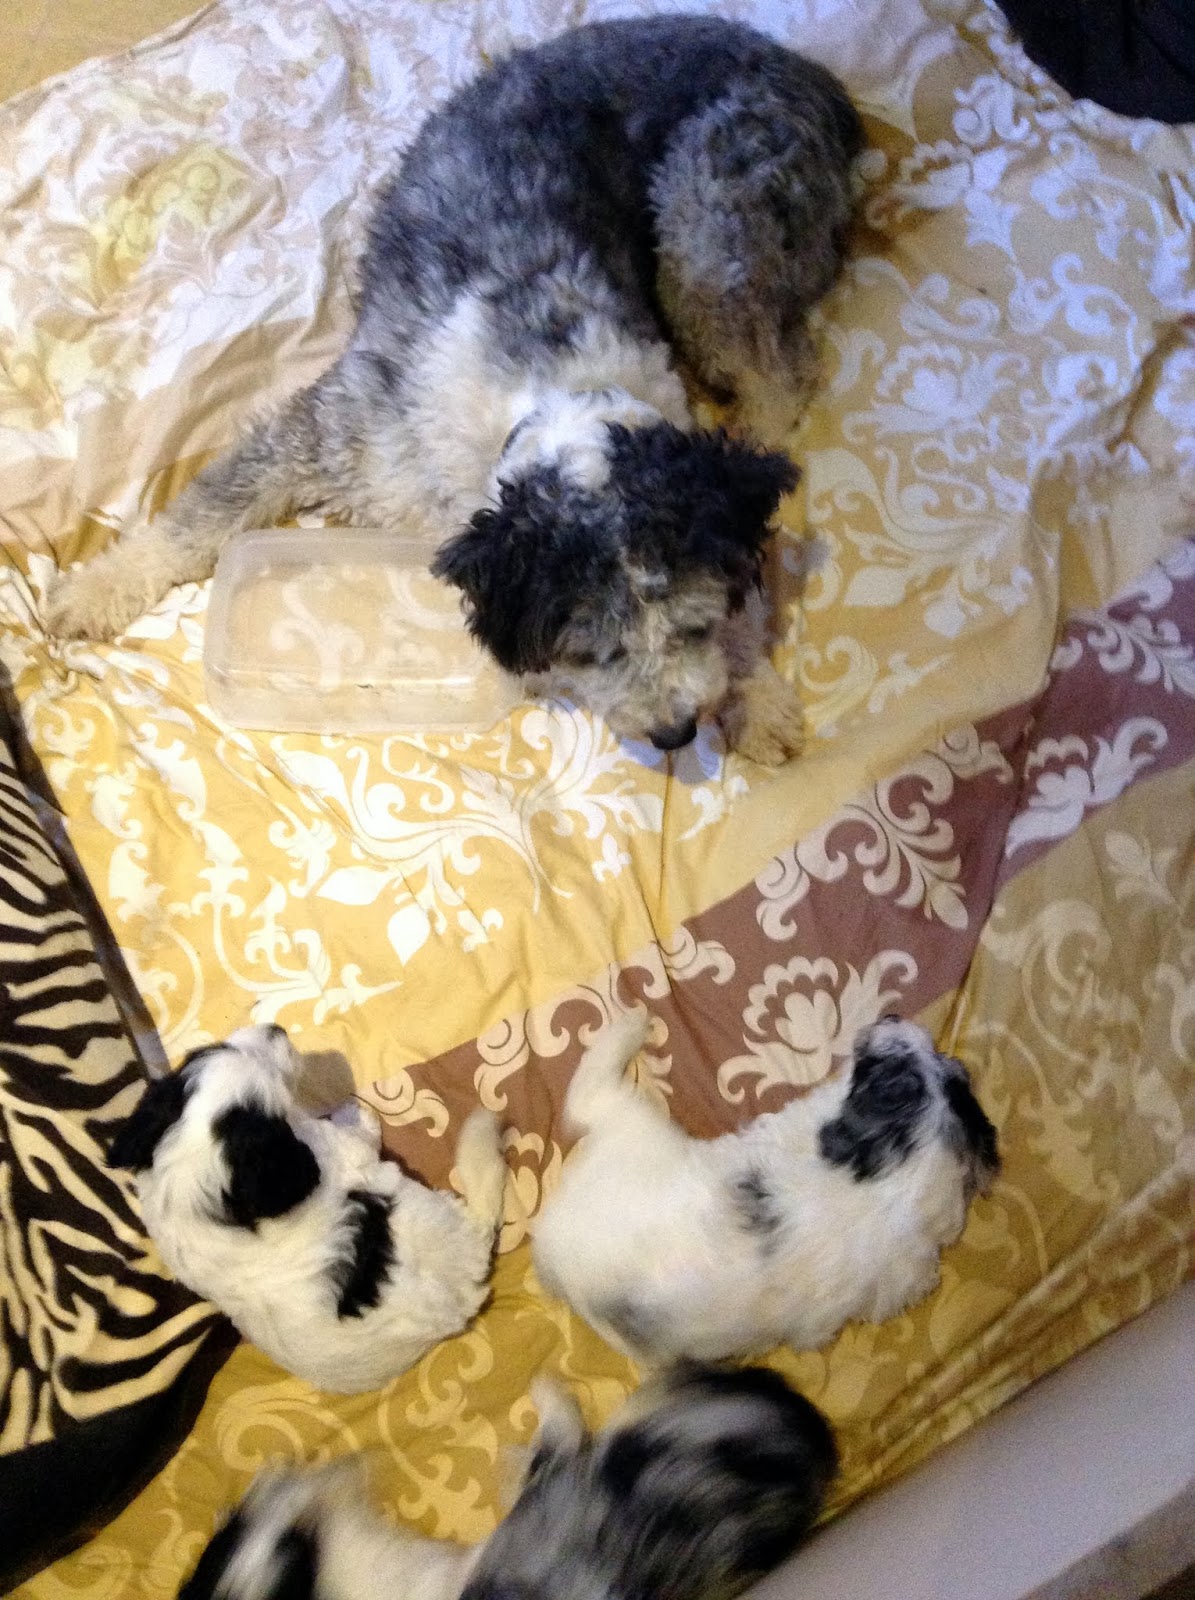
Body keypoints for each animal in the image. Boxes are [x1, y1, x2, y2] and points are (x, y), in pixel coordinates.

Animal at [47, 16, 862, 763]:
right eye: (593, 652)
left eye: (697, 625)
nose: (676, 733)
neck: (546, 396)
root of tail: (818, 79)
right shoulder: (335, 430)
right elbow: (204, 514)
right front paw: (96, 589)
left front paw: (758, 697)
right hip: (706, 228)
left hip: (711, 226)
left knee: (782, 364)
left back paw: (758, 427)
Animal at [108, 1024, 507, 1392]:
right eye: (273, 1081)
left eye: (216, 1048)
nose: (276, 1028)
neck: (194, 1187)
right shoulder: (340, 1150)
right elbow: (360, 1137)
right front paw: (357, 1114)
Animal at [532, 1012, 1000, 1364]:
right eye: (945, 1067)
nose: (892, 1016)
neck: (885, 1183)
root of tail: (557, 1254)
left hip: (634, 1129)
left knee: (589, 1095)